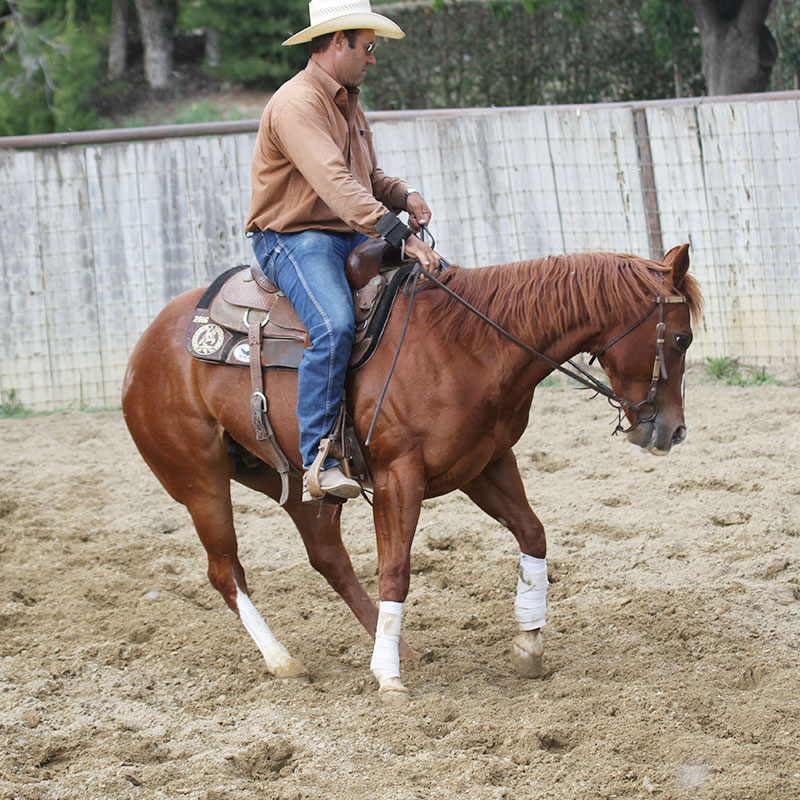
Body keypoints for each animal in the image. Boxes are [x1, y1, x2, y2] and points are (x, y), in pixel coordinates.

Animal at [123, 242, 700, 700]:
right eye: (681, 339)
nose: (673, 432)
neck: (470, 343)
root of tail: (144, 346)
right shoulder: (400, 476)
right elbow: (396, 570)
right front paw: (388, 677)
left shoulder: (487, 464)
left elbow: (533, 535)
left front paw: (528, 645)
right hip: (199, 481)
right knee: (227, 571)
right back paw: (284, 660)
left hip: (295, 481)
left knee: (327, 557)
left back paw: (396, 642)